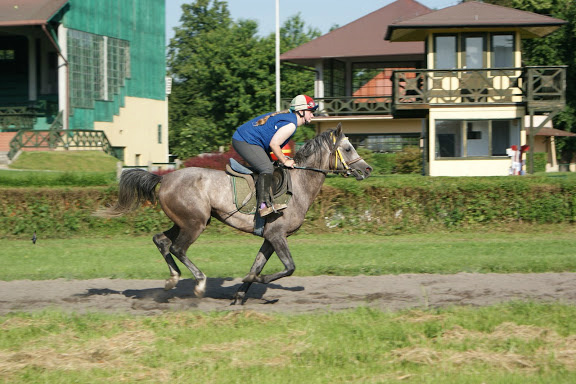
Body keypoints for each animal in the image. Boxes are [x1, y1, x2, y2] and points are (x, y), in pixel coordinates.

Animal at [96, 123, 372, 304]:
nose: (367, 169)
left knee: (161, 240)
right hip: (195, 223)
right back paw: (199, 283)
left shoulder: (270, 238)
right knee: (177, 248)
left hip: (186, 220)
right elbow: (289, 267)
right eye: (348, 148)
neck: (300, 183)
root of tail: (163, 178)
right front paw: (257, 281)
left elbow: (257, 265)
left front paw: (241, 292)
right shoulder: (278, 235)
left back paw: (172, 279)